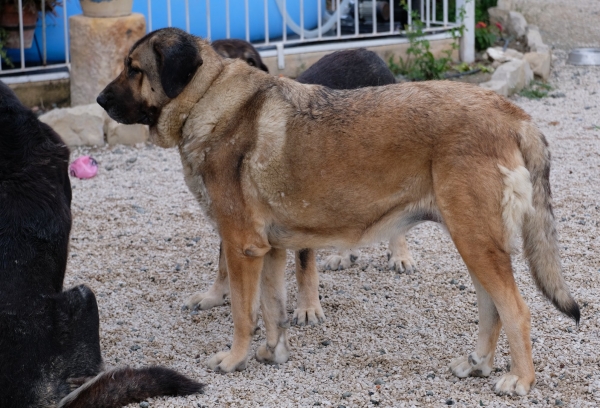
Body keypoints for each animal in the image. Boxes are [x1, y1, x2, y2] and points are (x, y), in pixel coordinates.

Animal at [98, 27, 580, 396]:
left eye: (134, 68)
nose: (100, 101)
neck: (206, 99)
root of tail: (512, 113)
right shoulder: (270, 250)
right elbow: (271, 310)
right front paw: (273, 353)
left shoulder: (242, 248)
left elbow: (243, 313)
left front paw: (234, 359)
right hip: (474, 242)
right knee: (491, 308)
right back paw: (478, 363)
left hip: (476, 242)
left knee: (516, 310)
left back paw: (521, 380)